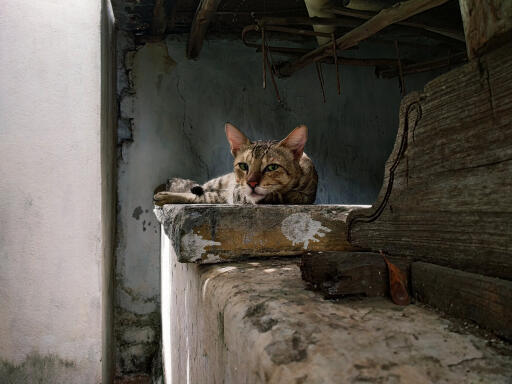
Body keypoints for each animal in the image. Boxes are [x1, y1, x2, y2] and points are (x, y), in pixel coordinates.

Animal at [154, 124, 318, 206]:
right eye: (244, 166)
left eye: (272, 167)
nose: (252, 183)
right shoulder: (238, 191)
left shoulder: (307, 194)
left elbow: (293, 195)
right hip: (219, 182)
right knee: (200, 190)